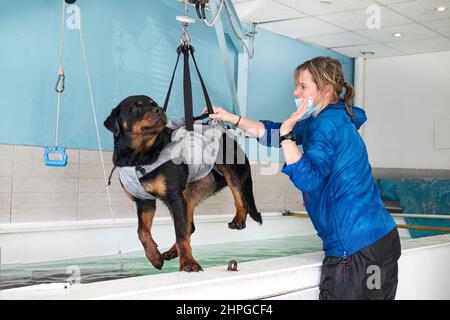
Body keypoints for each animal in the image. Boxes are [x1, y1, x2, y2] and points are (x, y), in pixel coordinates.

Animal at [103, 95, 262, 272]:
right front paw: (154, 257)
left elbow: (180, 234)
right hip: (192, 190)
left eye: (154, 105)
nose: (159, 110)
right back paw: (172, 252)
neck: (138, 158)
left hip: (229, 170)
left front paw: (188, 262)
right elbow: (142, 231)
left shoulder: (174, 197)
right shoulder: (144, 201)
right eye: (136, 108)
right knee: (189, 226)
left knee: (239, 195)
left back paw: (239, 219)